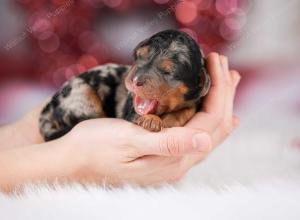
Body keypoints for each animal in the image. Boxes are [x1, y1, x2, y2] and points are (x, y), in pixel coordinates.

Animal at [38, 29, 210, 141]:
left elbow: (186, 110)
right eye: (139, 56)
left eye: (167, 71)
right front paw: (151, 120)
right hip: (82, 96)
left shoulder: (193, 101)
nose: (134, 81)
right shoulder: (131, 113)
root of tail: (47, 111)